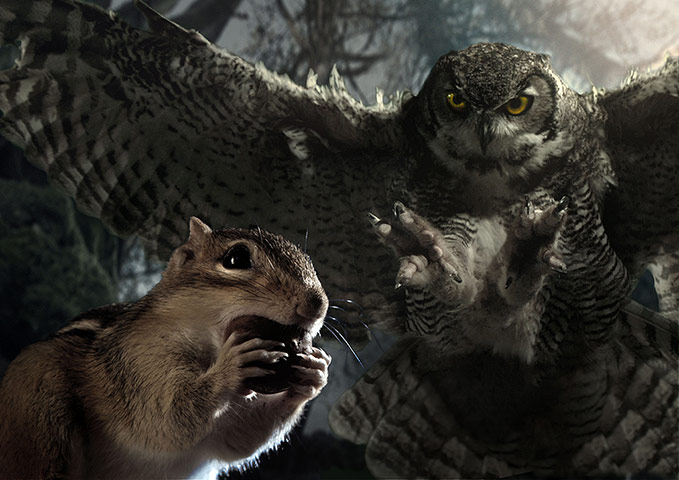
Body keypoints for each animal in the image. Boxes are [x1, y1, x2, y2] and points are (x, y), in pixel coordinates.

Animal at [0, 217, 331, 479]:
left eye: (307, 258)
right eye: (236, 258)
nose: (317, 304)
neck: (208, 349)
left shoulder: (221, 434)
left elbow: (237, 441)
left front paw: (315, 372)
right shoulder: (139, 362)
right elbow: (166, 417)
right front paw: (232, 366)